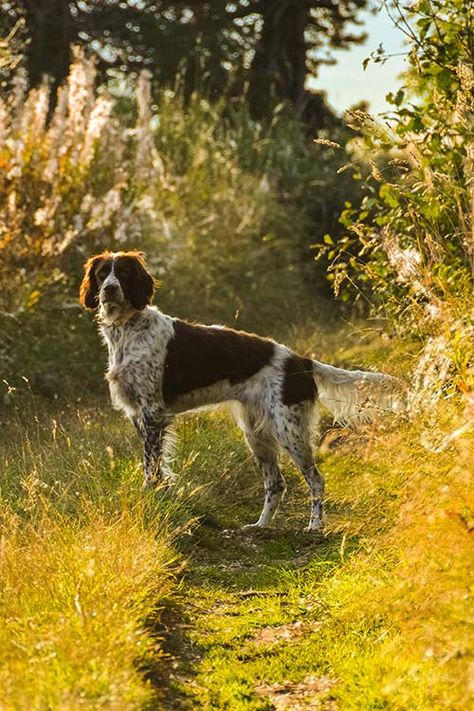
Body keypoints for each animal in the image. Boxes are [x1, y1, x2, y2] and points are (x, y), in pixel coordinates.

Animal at [79, 250, 402, 528]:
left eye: (122, 272)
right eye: (101, 273)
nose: (109, 289)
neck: (128, 329)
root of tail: (302, 361)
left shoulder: (153, 412)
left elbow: (152, 465)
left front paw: (151, 497)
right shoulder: (138, 413)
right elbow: (154, 464)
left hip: (289, 430)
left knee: (315, 479)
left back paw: (315, 525)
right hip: (256, 433)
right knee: (276, 483)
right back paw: (260, 527)